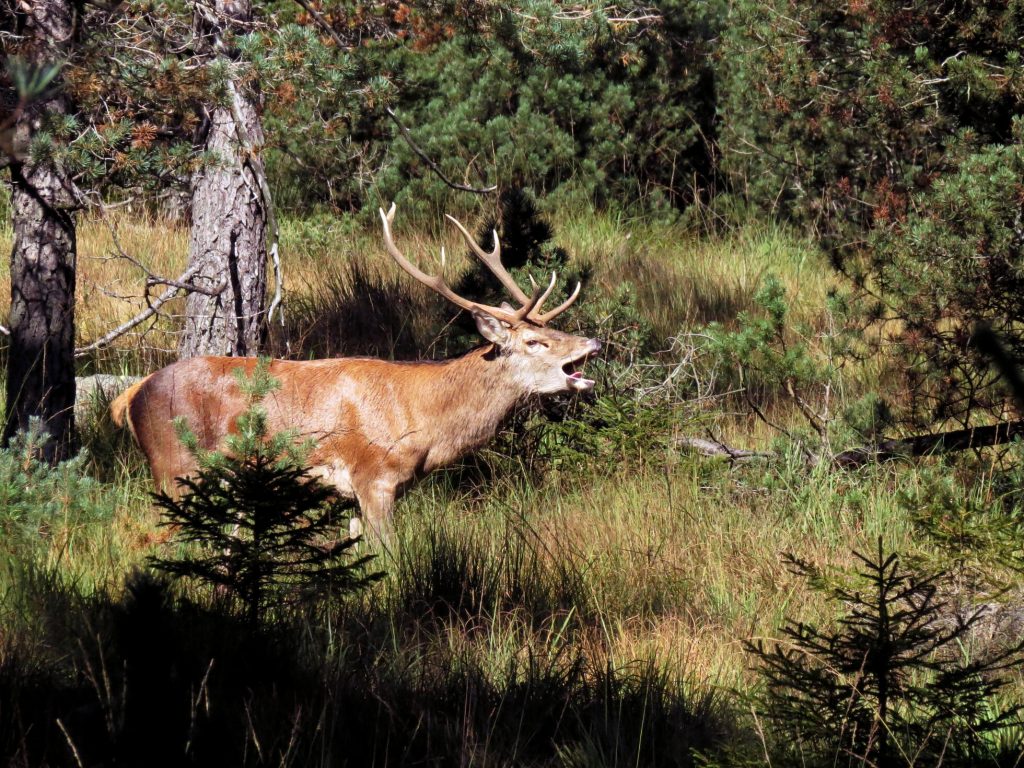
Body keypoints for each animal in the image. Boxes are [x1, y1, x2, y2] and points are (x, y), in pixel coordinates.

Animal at [111, 203, 601, 540]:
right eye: (535, 341)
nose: (592, 343)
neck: (424, 423)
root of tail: (131, 395)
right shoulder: (374, 476)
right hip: (173, 465)